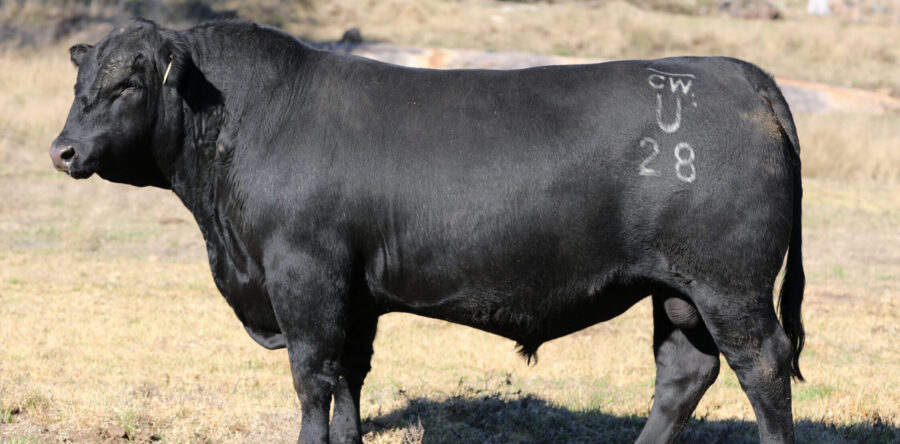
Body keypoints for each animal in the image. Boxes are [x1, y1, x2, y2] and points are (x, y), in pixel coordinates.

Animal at [50, 18, 805, 444]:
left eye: (128, 85)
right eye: (81, 83)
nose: (63, 150)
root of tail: (737, 72)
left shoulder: (304, 276)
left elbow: (312, 379)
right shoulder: (354, 294)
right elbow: (350, 379)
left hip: (729, 284)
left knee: (762, 367)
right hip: (677, 290)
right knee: (684, 373)